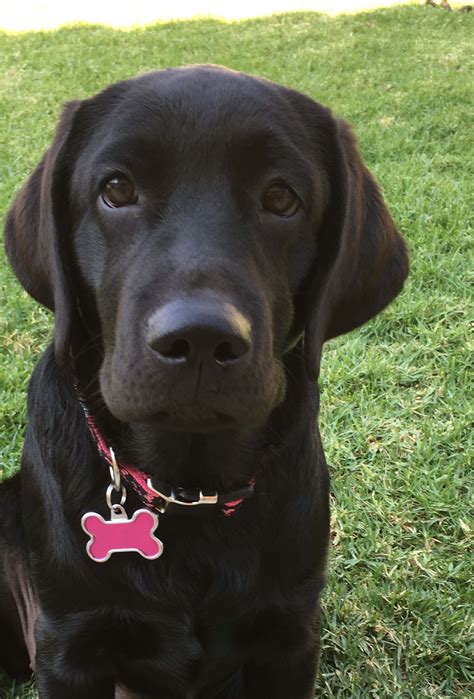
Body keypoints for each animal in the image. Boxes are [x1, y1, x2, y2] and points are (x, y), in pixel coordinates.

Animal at [0, 64, 408, 696]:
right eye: (116, 190)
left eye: (281, 198)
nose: (198, 338)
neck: (187, 493)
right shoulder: (70, 643)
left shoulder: (289, 635)